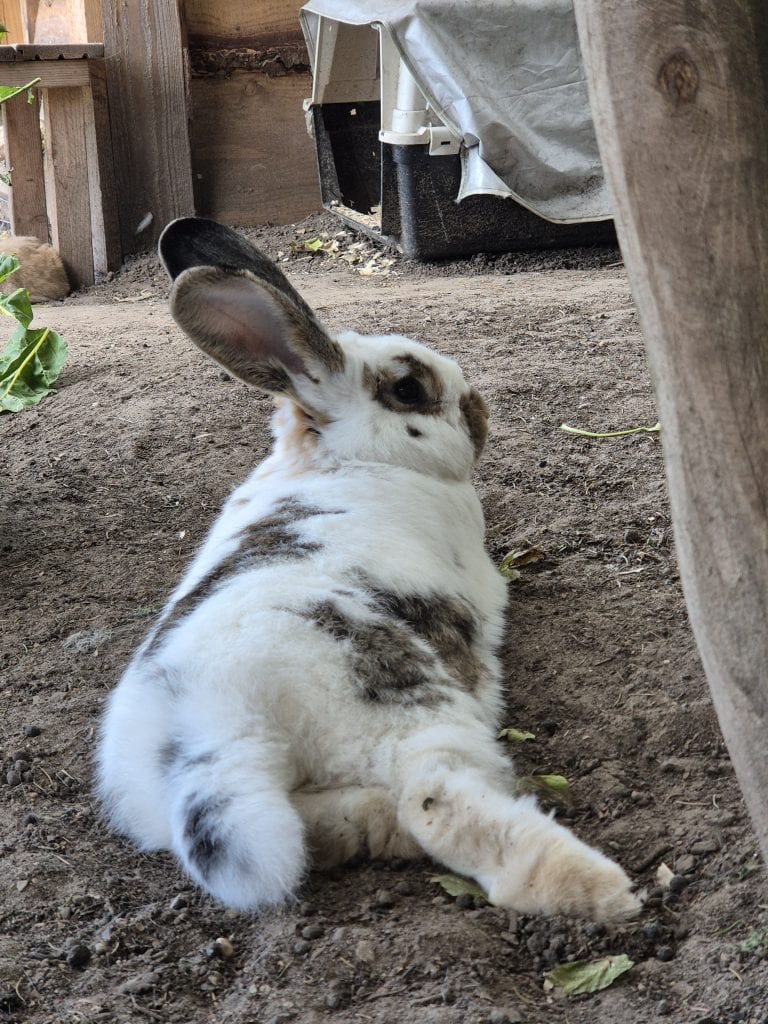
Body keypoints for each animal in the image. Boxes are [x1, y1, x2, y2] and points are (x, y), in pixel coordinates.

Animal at [97, 216, 641, 922]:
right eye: (410, 389)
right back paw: (599, 888)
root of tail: (215, 734)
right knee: (435, 801)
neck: (342, 456)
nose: (479, 409)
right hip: (410, 712)